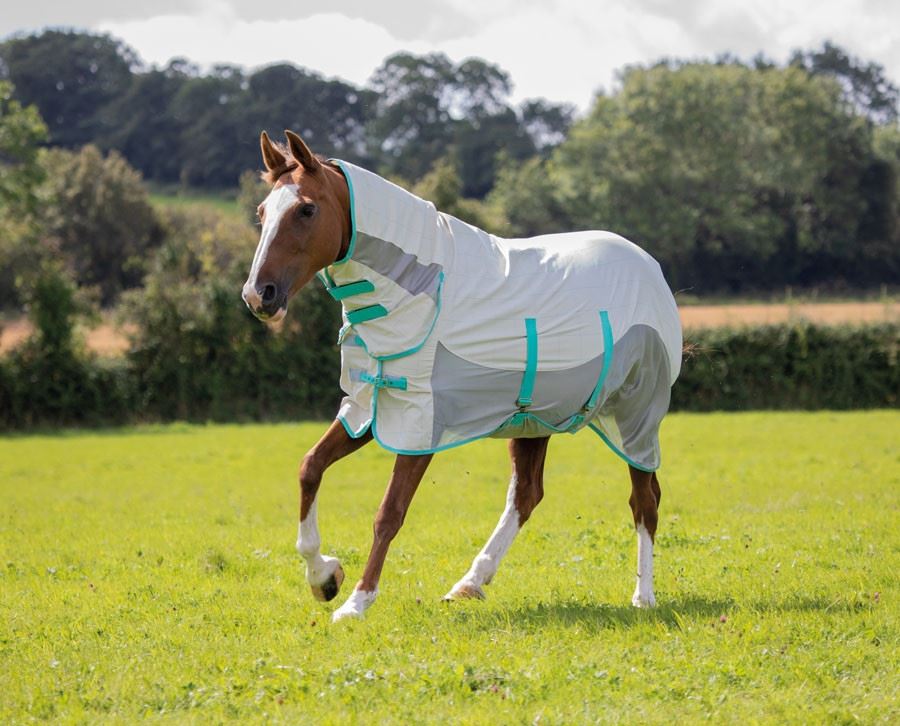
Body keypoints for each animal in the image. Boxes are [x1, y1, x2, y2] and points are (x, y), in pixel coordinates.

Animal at [242, 130, 681, 622]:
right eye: (262, 212)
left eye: (306, 209)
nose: (259, 295)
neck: (418, 293)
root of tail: (651, 268)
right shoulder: (368, 410)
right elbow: (310, 468)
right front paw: (324, 578)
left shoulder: (420, 426)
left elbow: (389, 512)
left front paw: (356, 602)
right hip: (534, 421)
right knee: (526, 496)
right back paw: (469, 583)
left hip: (635, 415)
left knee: (644, 500)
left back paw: (643, 596)